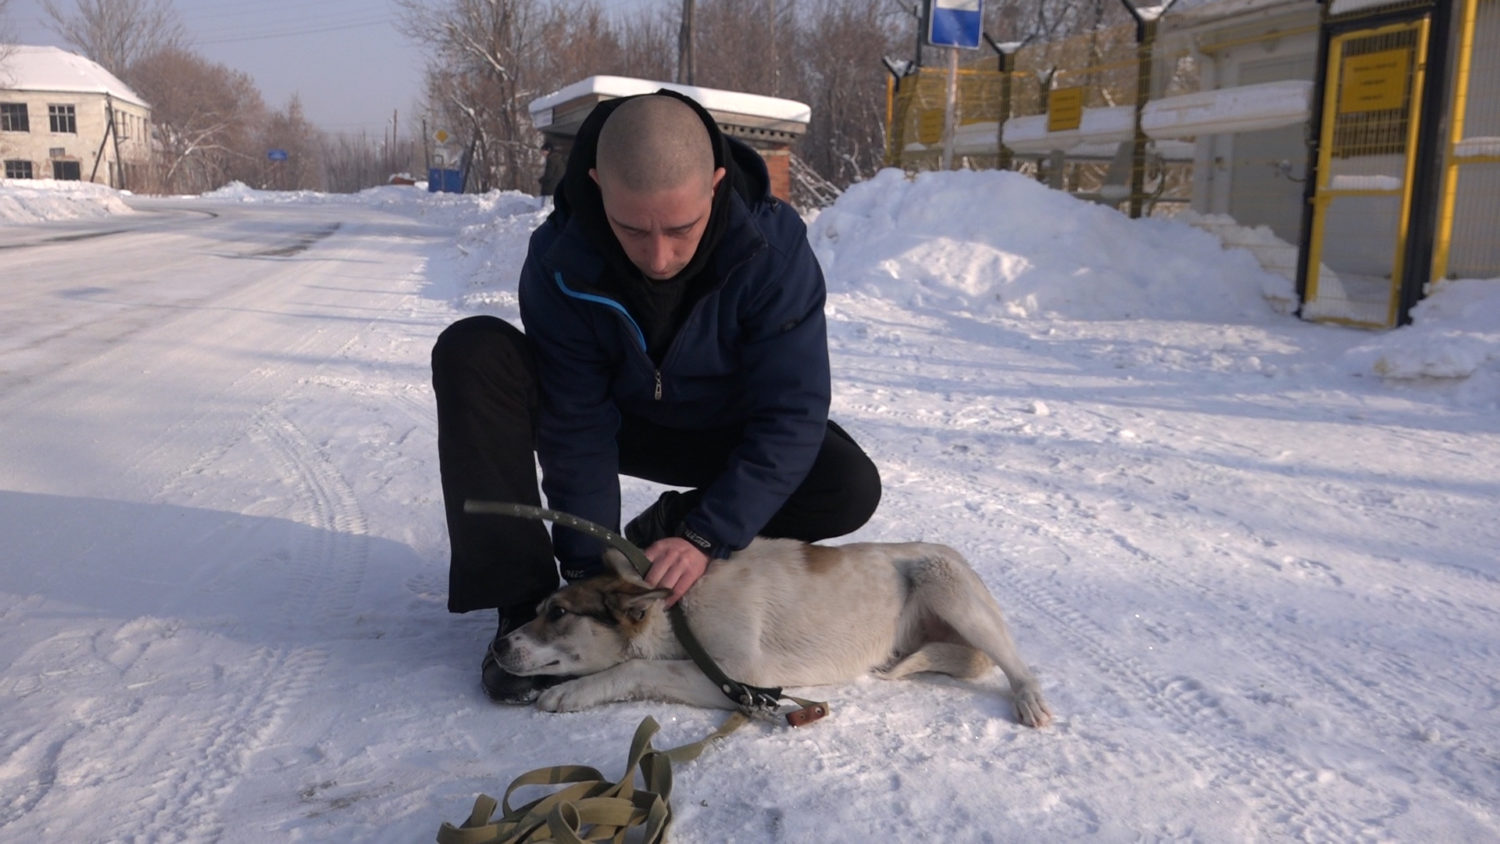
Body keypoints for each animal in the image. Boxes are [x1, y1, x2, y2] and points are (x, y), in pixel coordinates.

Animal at [492, 539, 1056, 728]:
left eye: (558, 612)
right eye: (538, 609)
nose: (498, 645)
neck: (680, 612)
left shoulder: (739, 676)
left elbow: (631, 667)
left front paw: (570, 693)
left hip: (946, 585)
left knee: (1017, 664)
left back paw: (1029, 699)